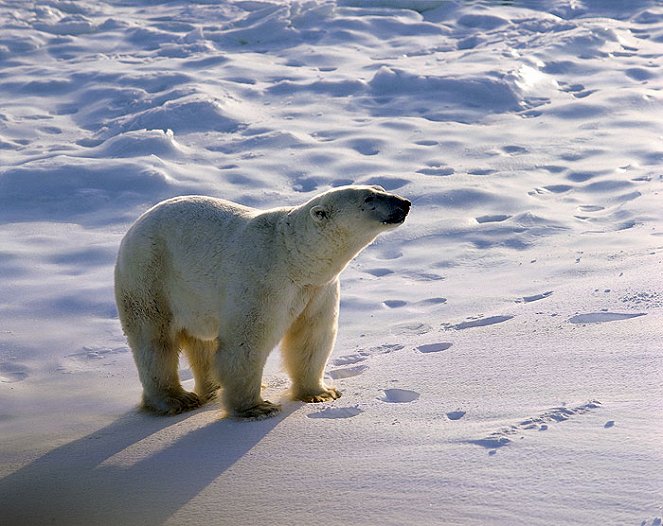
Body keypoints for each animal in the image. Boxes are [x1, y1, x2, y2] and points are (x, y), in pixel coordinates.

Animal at [114, 186, 410, 420]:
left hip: (192, 296)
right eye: (369, 197)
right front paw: (257, 408)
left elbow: (312, 336)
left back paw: (213, 388)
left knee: (201, 343)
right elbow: (247, 342)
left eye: (381, 187)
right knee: (155, 341)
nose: (404, 203)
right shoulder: (263, 280)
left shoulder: (317, 290)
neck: (295, 258)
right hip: (149, 277)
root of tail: (134, 227)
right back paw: (176, 399)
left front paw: (321, 393)